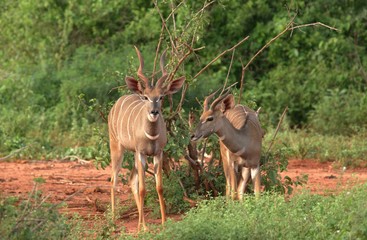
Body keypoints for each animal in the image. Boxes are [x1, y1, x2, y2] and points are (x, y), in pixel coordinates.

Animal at [108, 47, 185, 231]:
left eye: (161, 96)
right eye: (146, 96)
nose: (154, 111)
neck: (151, 136)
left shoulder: (158, 153)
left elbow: (159, 187)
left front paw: (164, 222)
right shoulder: (141, 152)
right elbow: (143, 189)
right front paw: (138, 227)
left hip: (133, 154)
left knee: (131, 180)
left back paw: (143, 224)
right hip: (117, 147)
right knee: (114, 179)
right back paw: (114, 220)